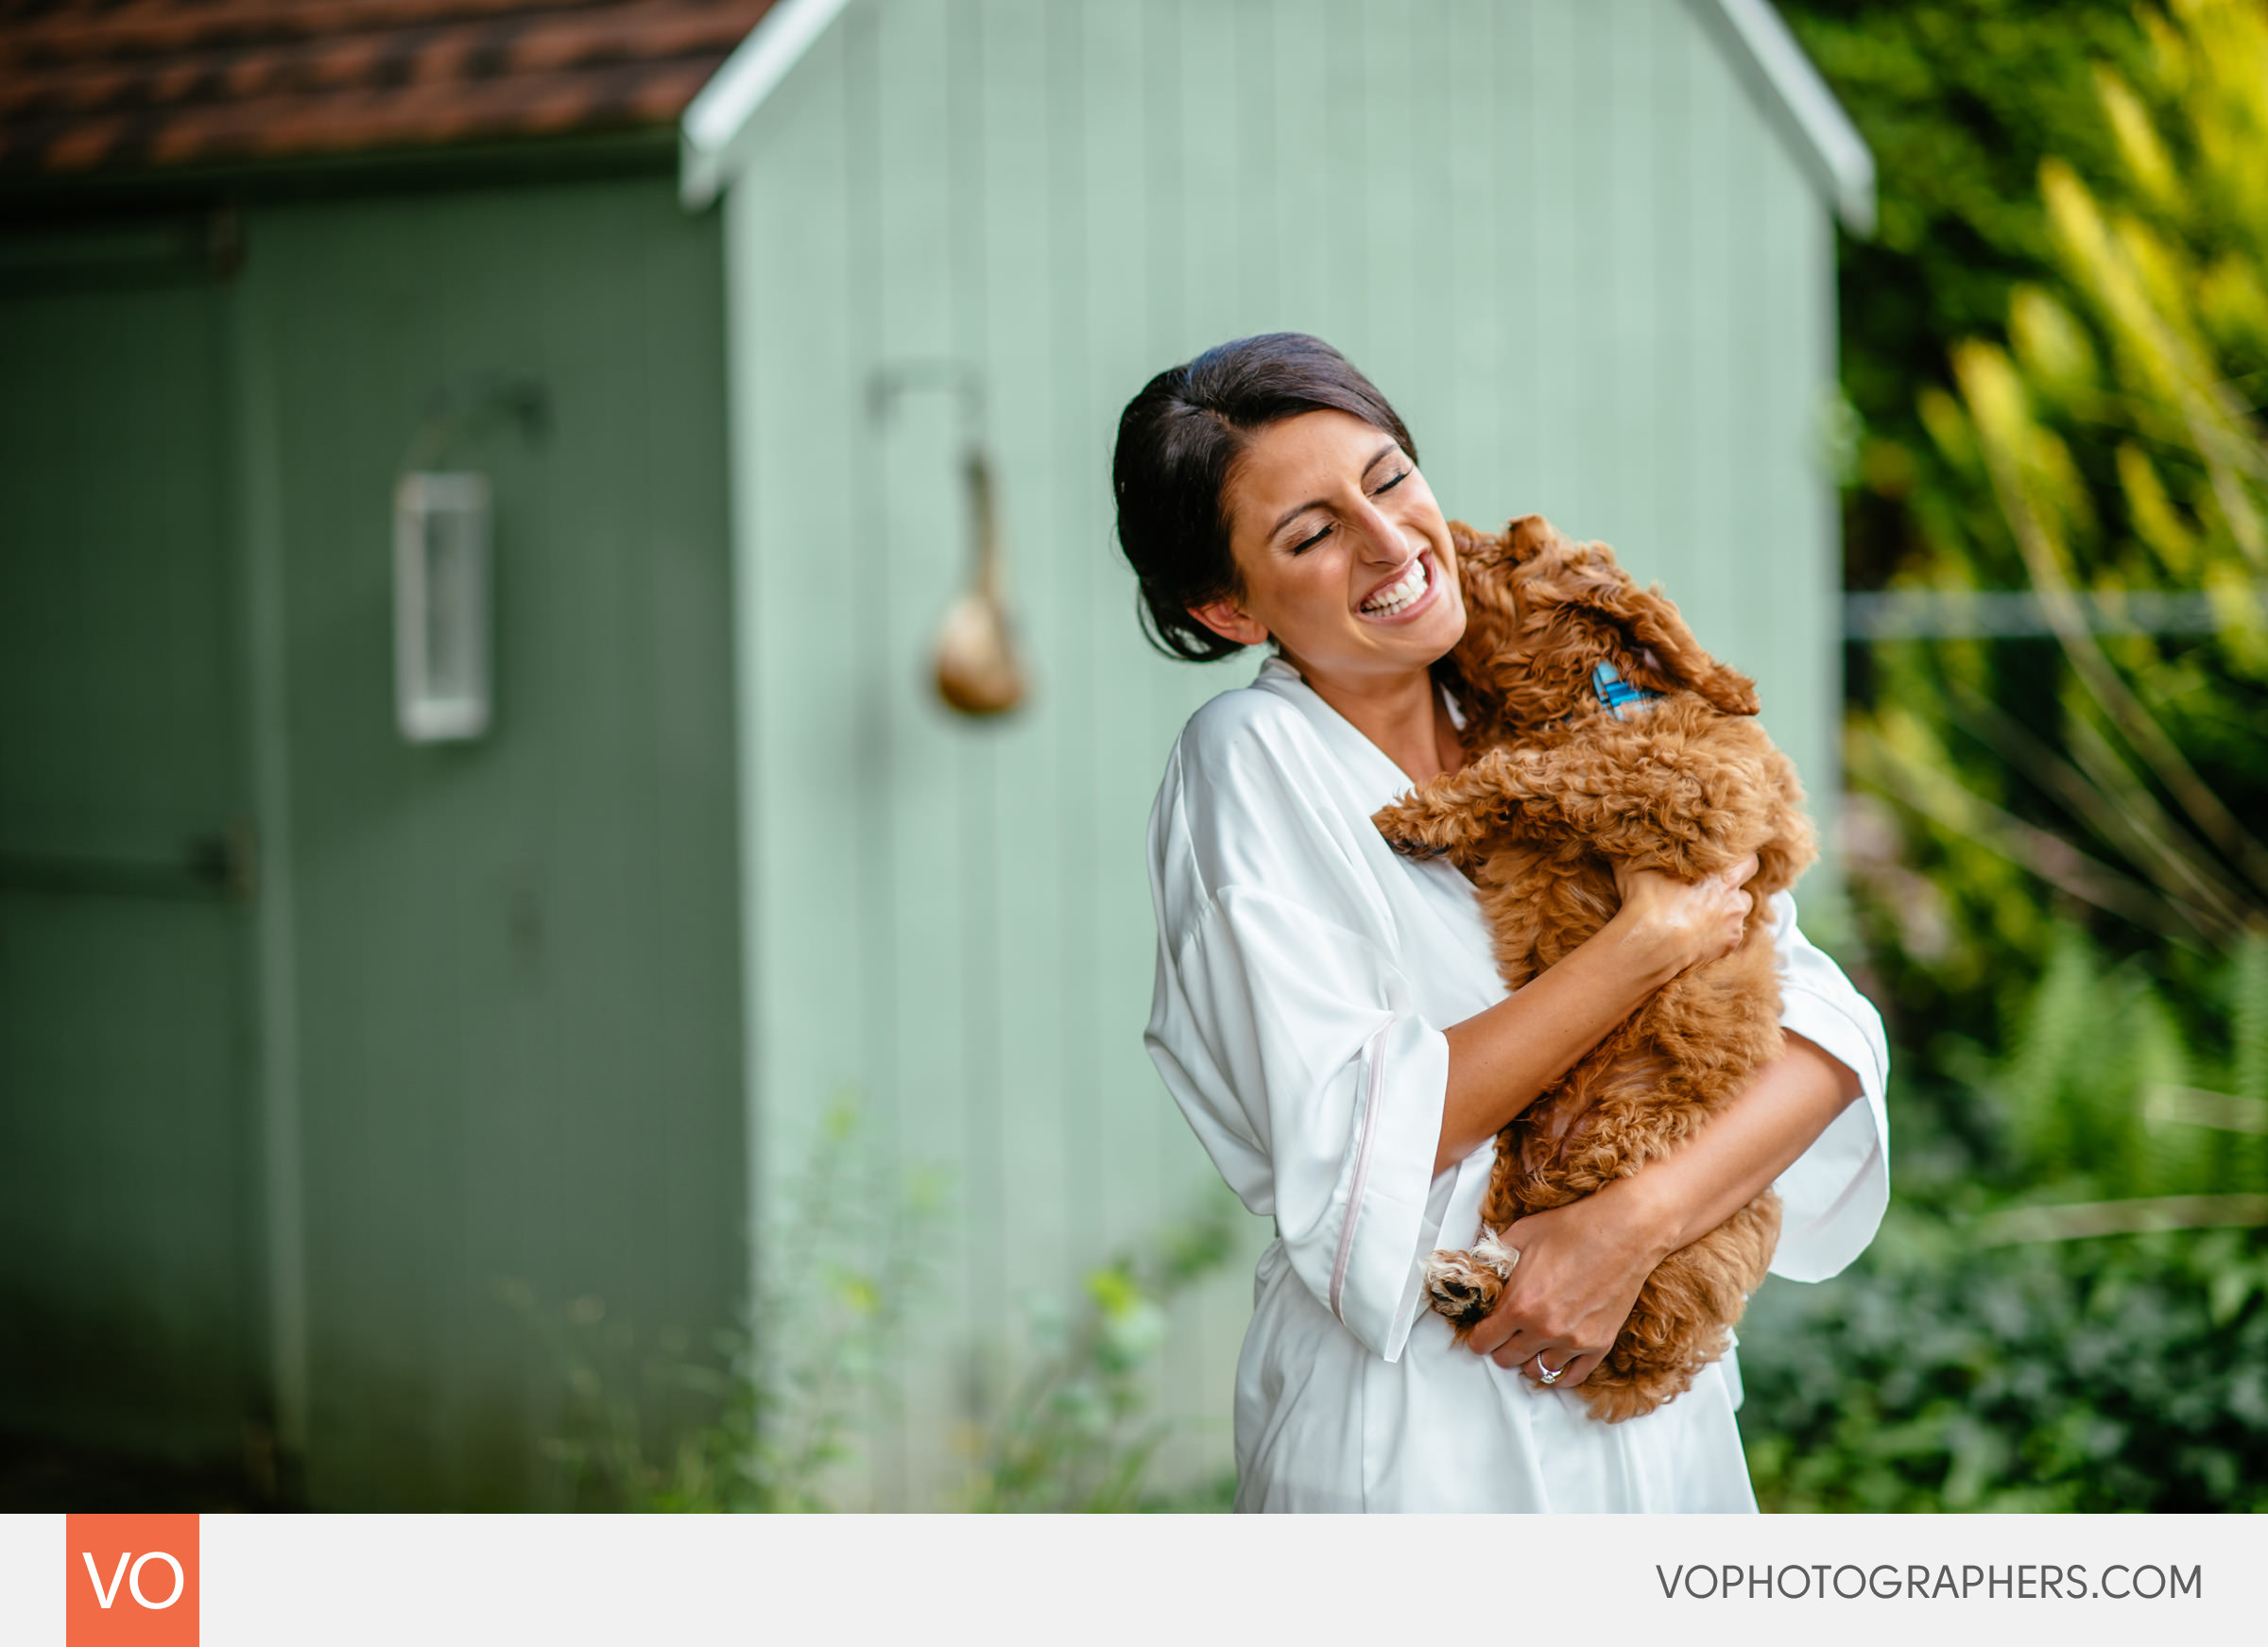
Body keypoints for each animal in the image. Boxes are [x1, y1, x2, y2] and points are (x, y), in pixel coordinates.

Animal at [1361, 519, 1823, 1433]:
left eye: (1506, 550)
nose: (1440, 538)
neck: (1601, 698)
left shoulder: (1698, 796)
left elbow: (1544, 771)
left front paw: (1421, 811)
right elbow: (1526, 774)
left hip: (1678, 1225)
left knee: (1631, 1326)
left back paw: (1482, 1285)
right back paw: (1474, 1282)